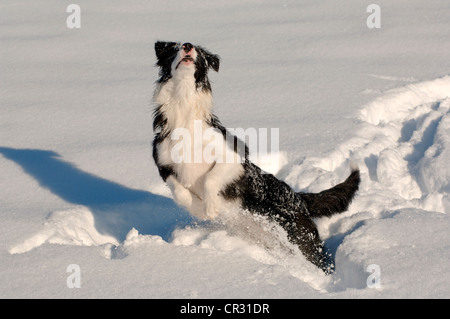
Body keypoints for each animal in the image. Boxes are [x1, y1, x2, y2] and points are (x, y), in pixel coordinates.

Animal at [153, 41, 360, 274]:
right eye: (174, 47)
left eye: (199, 52)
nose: (187, 46)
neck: (184, 106)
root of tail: (299, 198)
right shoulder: (163, 164)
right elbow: (179, 191)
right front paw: (200, 209)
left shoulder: (234, 156)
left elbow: (210, 179)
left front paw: (211, 206)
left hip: (299, 235)